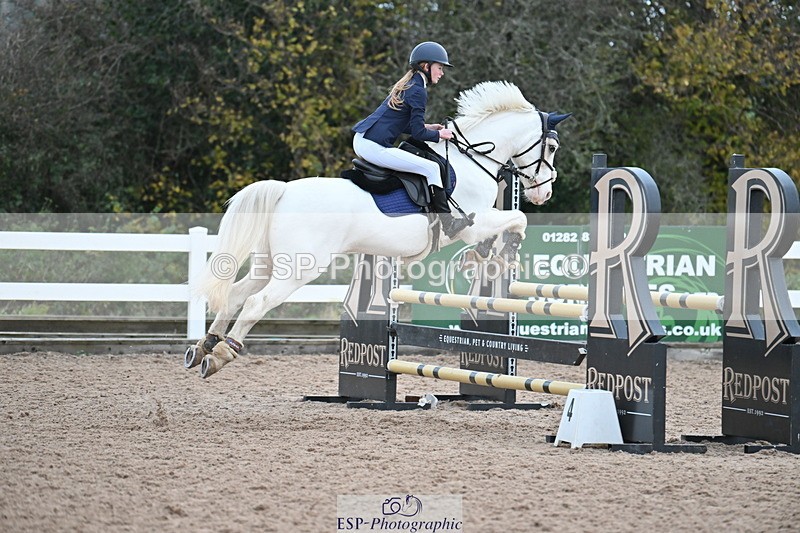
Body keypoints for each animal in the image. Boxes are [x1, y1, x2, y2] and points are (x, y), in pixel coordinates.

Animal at [186, 80, 570, 378]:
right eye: (551, 147)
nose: (544, 193)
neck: (473, 159)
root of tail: (284, 191)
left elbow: (505, 227)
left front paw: (485, 256)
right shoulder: (471, 224)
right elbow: (516, 220)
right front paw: (502, 252)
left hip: (271, 262)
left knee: (236, 294)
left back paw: (204, 348)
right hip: (300, 268)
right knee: (255, 302)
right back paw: (221, 355)